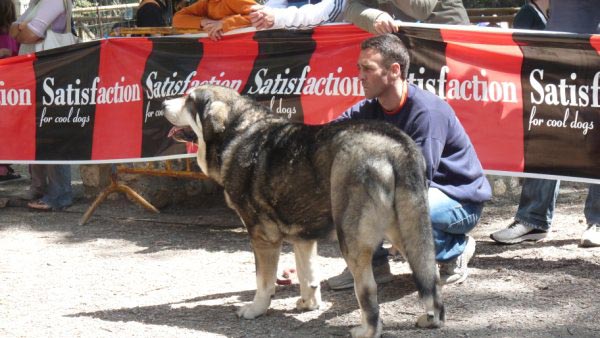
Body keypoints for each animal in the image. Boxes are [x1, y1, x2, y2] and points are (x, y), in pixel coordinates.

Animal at [164, 85, 446, 338]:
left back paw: (367, 330)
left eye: (189, 100)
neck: (237, 132)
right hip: (409, 233)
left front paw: (255, 309)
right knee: (431, 278)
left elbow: (263, 281)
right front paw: (308, 304)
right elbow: (306, 274)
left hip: (351, 240)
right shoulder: (303, 239)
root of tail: (395, 144)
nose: (163, 103)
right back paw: (432, 319)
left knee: (368, 290)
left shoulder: (262, 237)